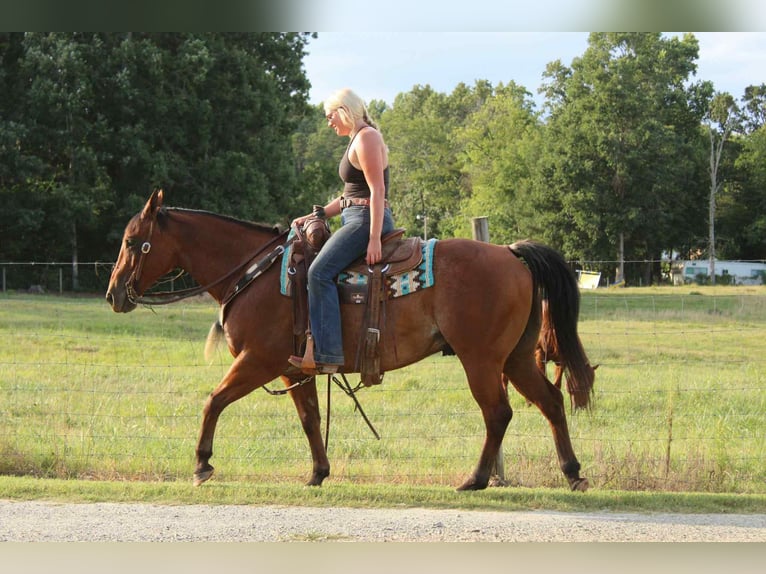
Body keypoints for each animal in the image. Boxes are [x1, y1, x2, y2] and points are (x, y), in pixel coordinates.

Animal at [106, 190, 593, 492]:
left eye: (132, 241)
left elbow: (214, 400)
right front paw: (318, 473)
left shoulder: (257, 361)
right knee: (550, 401)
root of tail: (511, 253)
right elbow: (309, 419)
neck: (254, 273)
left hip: (481, 359)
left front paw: (202, 464)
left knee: (498, 413)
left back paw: (475, 479)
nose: (113, 295)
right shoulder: (293, 369)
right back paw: (572, 472)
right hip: (516, 358)